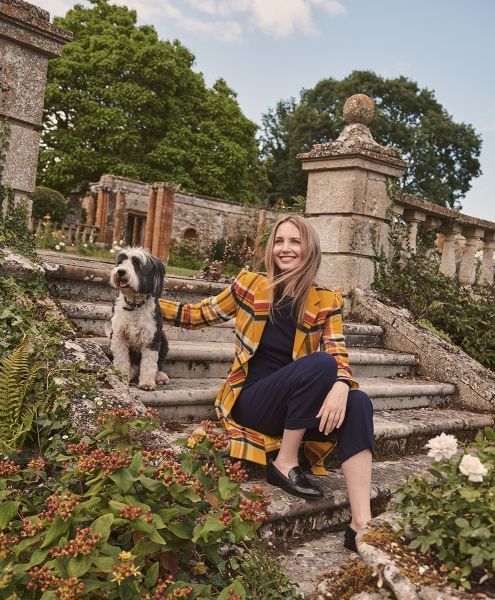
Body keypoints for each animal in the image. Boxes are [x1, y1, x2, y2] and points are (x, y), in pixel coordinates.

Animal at [109, 246, 170, 392]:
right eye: (121, 262)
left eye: (137, 265)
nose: (120, 271)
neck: (134, 306)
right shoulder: (118, 335)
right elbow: (121, 359)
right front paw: (121, 376)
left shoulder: (152, 338)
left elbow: (149, 362)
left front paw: (147, 383)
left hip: (163, 339)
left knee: (158, 364)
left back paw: (160, 376)